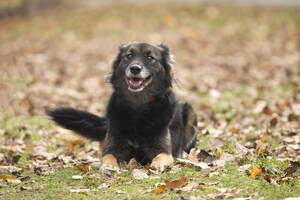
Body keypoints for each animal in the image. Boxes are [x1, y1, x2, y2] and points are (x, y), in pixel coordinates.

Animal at [47, 41, 197, 170]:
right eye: (129, 56)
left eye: (150, 57)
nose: (135, 68)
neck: (138, 108)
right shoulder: (115, 146)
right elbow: (108, 156)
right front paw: (108, 167)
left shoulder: (162, 149)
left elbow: (162, 157)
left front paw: (157, 165)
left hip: (190, 112)